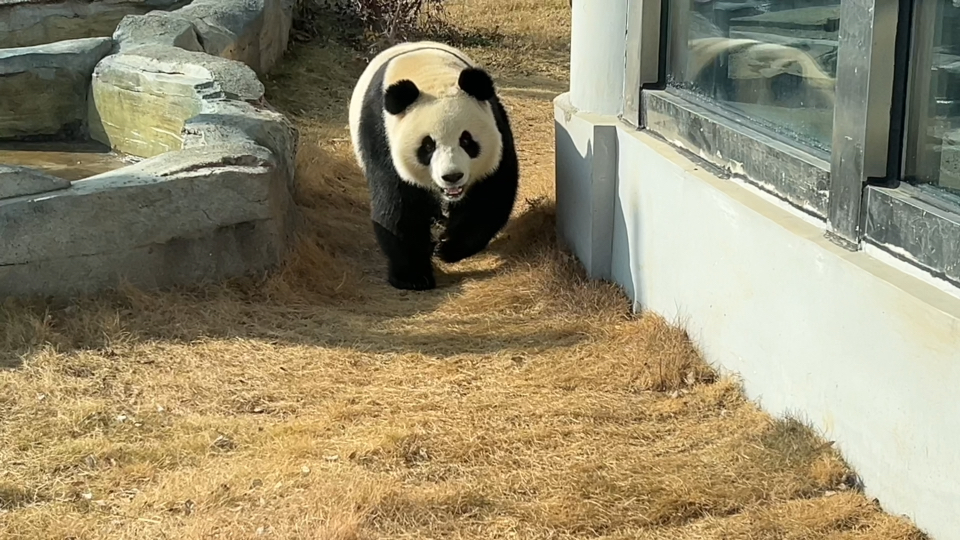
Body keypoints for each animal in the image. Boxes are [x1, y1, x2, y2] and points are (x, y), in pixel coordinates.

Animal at [348, 41, 520, 292]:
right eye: (428, 146)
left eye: (466, 140)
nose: (452, 176)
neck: (430, 75)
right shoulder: (382, 137)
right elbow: (399, 206)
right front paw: (413, 277)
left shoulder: (496, 124)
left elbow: (491, 195)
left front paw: (447, 247)